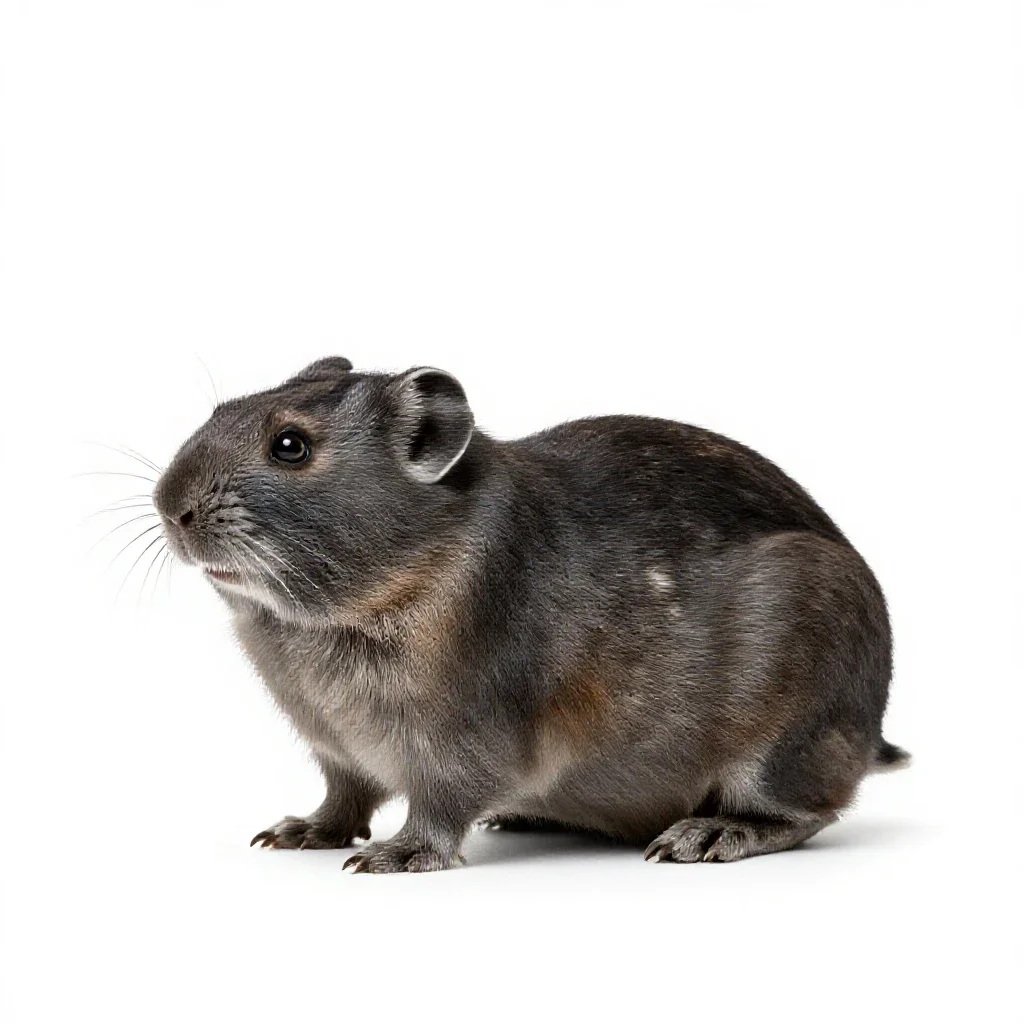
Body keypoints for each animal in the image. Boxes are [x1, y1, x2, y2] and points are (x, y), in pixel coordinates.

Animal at [152, 356, 908, 872]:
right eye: (222, 411)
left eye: (290, 444)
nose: (169, 504)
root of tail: (872, 733)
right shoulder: (336, 750)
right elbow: (344, 797)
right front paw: (297, 832)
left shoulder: (462, 740)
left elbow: (439, 806)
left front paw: (395, 856)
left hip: (789, 728)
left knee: (803, 810)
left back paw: (707, 834)